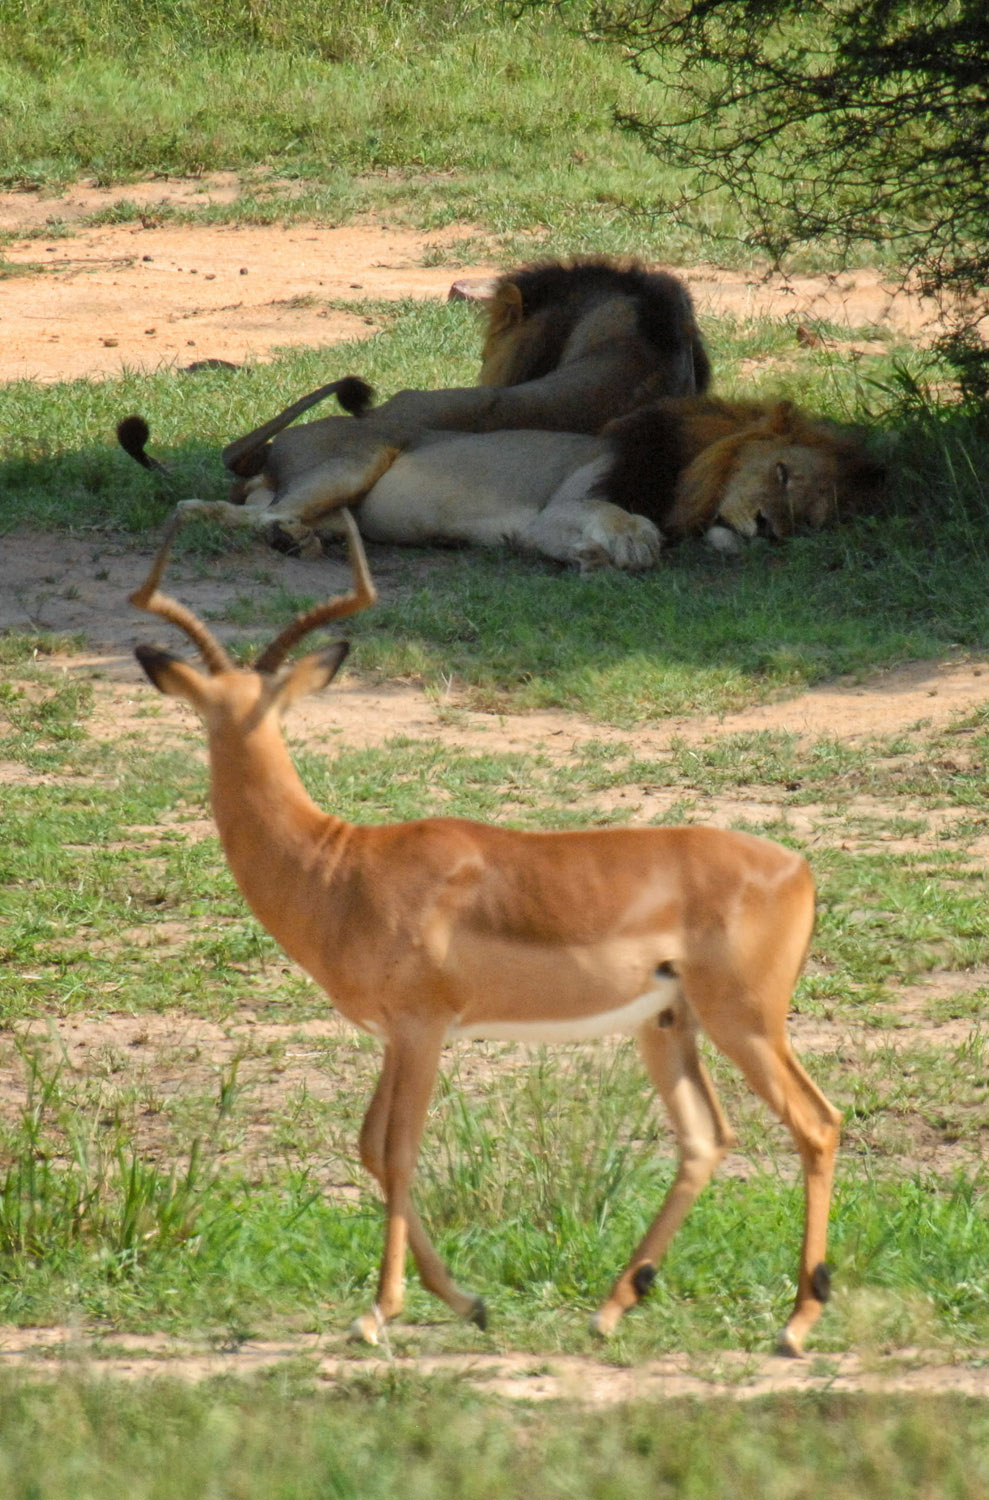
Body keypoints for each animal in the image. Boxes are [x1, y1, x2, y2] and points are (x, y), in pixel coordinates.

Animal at [130, 511, 841, 1355]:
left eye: (259, 709)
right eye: (212, 707)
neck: (341, 868)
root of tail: (797, 868)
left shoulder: (422, 1028)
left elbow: (397, 1150)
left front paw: (379, 1312)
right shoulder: (394, 1035)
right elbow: (371, 1147)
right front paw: (466, 1301)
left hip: (746, 1022)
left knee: (817, 1124)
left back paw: (796, 1324)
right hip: (668, 1026)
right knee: (705, 1138)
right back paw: (612, 1308)